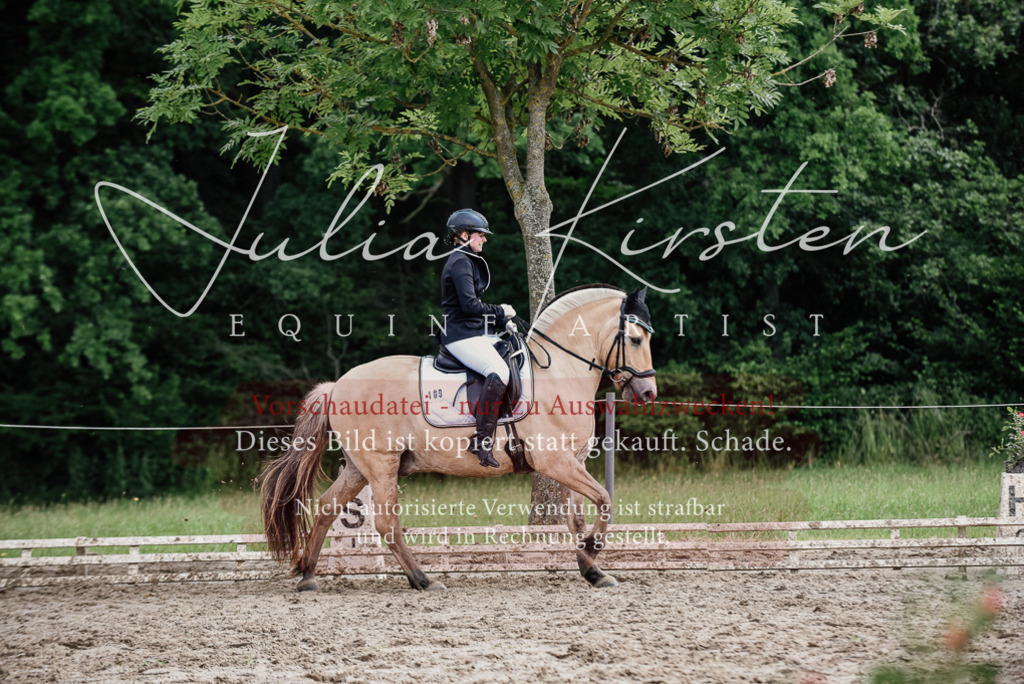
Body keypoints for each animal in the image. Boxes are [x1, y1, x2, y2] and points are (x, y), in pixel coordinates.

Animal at [259, 284, 658, 591]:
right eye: (636, 339)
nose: (648, 393)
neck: (560, 371)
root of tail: (336, 385)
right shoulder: (555, 461)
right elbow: (604, 498)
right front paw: (593, 549)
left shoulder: (572, 461)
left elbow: (579, 517)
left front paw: (592, 568)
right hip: (381, 464)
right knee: (387, 524)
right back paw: (422, 580)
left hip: (360, 467)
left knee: (328, 507)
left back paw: (308, 576)